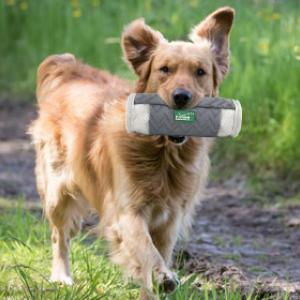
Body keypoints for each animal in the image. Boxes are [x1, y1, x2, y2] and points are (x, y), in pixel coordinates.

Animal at [29, 7, 234, 300]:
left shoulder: (171, 218)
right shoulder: (127, 212)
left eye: (200, 72)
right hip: (57, 192)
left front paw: (153, 286)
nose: (181, 97)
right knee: (60, 235)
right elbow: (146, 250)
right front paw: (162, 277)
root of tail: (70, 69)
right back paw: (61, 277)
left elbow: (158, 252)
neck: (163, 154)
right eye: (164, 70)